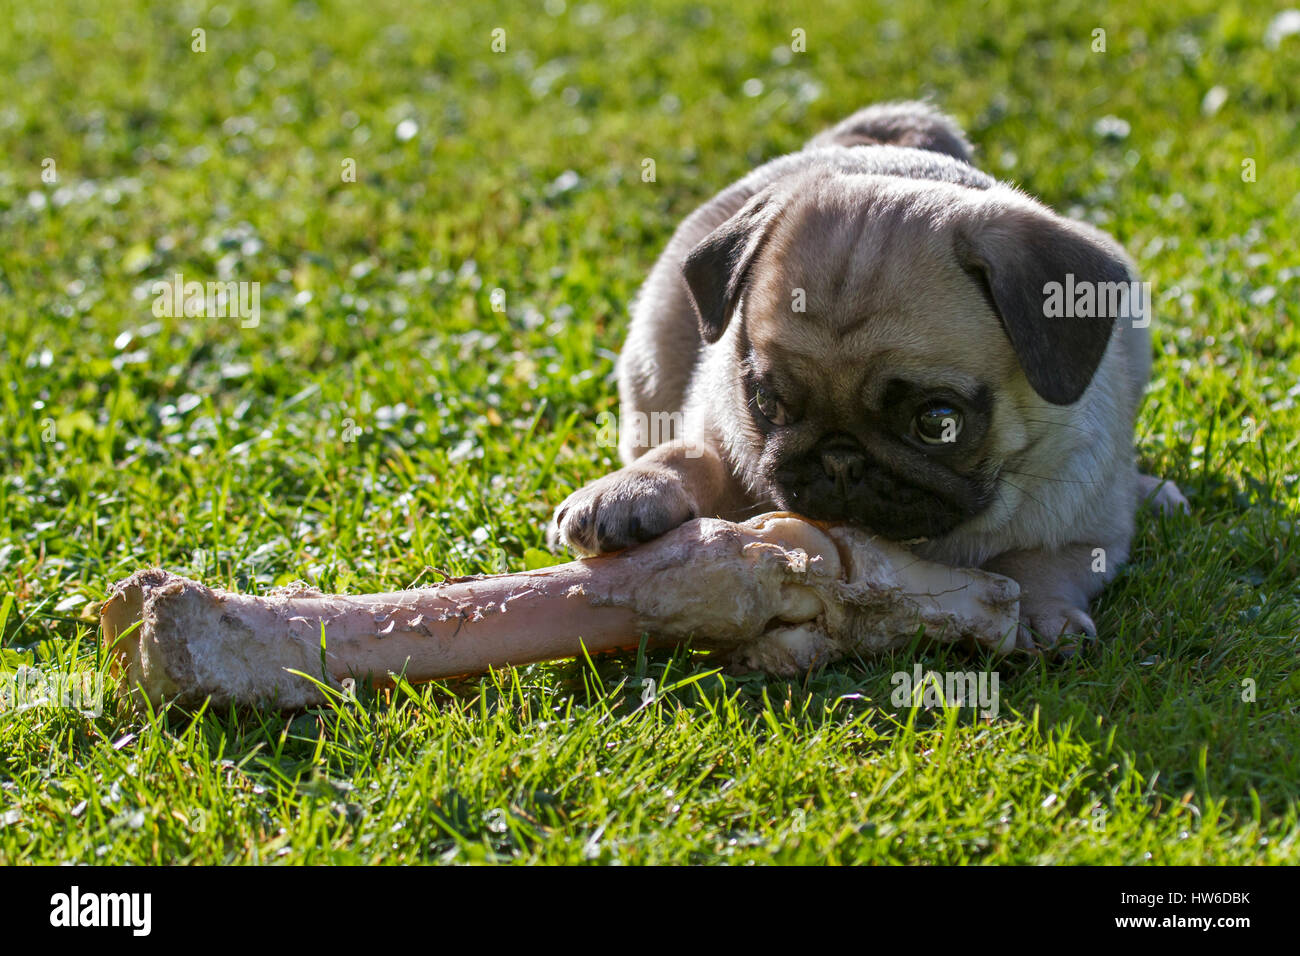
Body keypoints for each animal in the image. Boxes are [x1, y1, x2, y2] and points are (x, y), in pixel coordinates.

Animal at [543, 102, 1185, 650]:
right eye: (768, 404)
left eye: (938, 423)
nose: (841, 460)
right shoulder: (723, 426)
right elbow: (692, 455)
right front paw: (632, 491)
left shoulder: (1087, 533)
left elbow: (1040, 562)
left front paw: (1042, 611)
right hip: (652, 358)